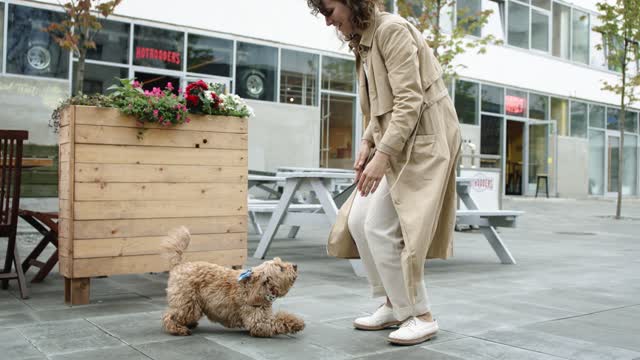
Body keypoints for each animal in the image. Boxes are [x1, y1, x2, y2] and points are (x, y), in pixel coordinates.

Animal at [164, 228, 306, 338]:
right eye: (281, 269)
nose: (295, 265)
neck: (255, 288)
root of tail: (179, 265)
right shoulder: (259, 321)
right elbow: (279, 320)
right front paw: (297, 323)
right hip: (187, 302)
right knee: (170, 316)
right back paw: (178, 329)